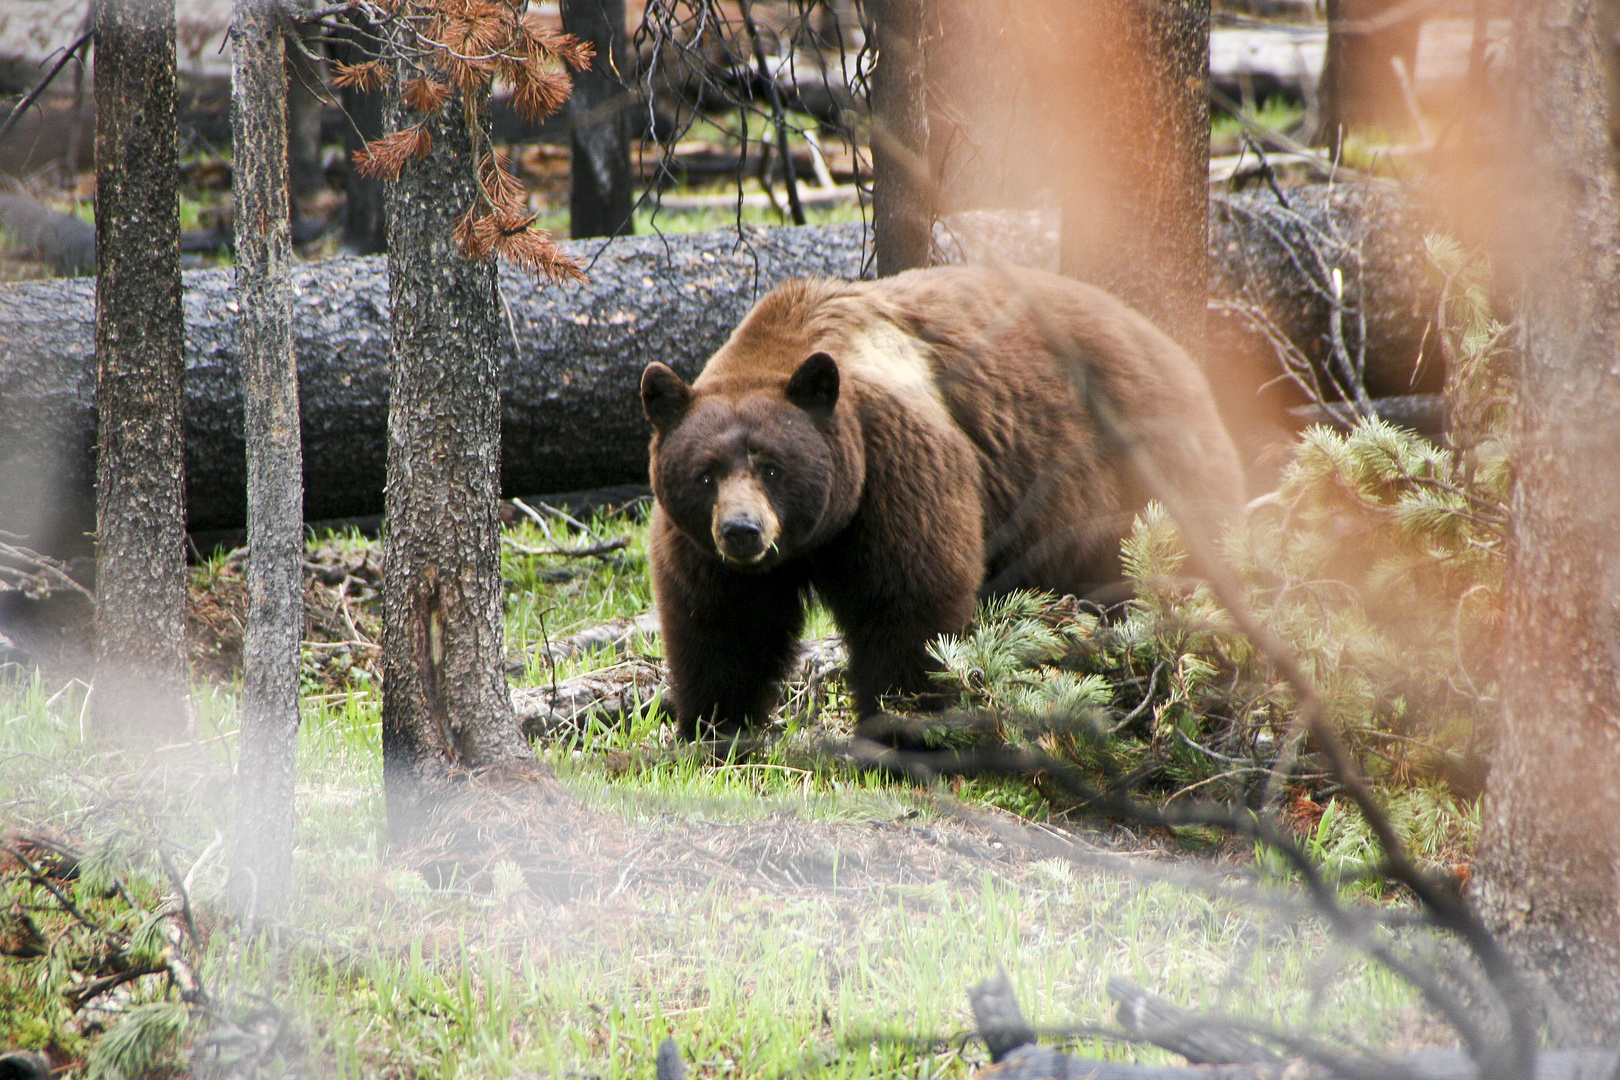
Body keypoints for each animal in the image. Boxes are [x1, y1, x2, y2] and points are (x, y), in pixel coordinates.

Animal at [638, 262, 1244, 738]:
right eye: (706, 474)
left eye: (771, 467)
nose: (742, 531)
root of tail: (1179, 355)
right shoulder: (701, 545)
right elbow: (722, 623)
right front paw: (714, 727)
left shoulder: (894, 466)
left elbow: (910, 601)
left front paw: (901, 729)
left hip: (1145, 474)